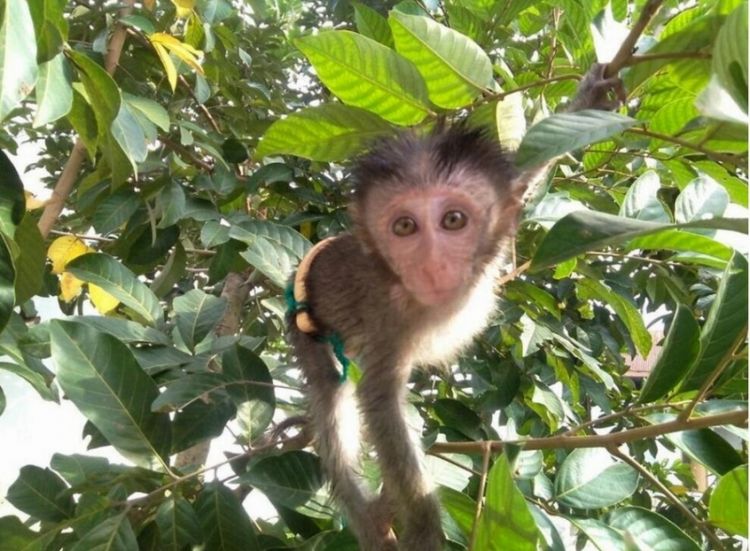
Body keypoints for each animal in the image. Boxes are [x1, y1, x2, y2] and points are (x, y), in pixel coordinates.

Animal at [288, 62, 628, 548]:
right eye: (404, 227)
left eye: (453, 220)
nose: (432, 264)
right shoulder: (386, 314)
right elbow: (379, 399)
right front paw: (424, 523)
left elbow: (521, 177)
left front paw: (590, 100)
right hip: (303, 326)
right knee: (331, 391)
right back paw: (366, 513)